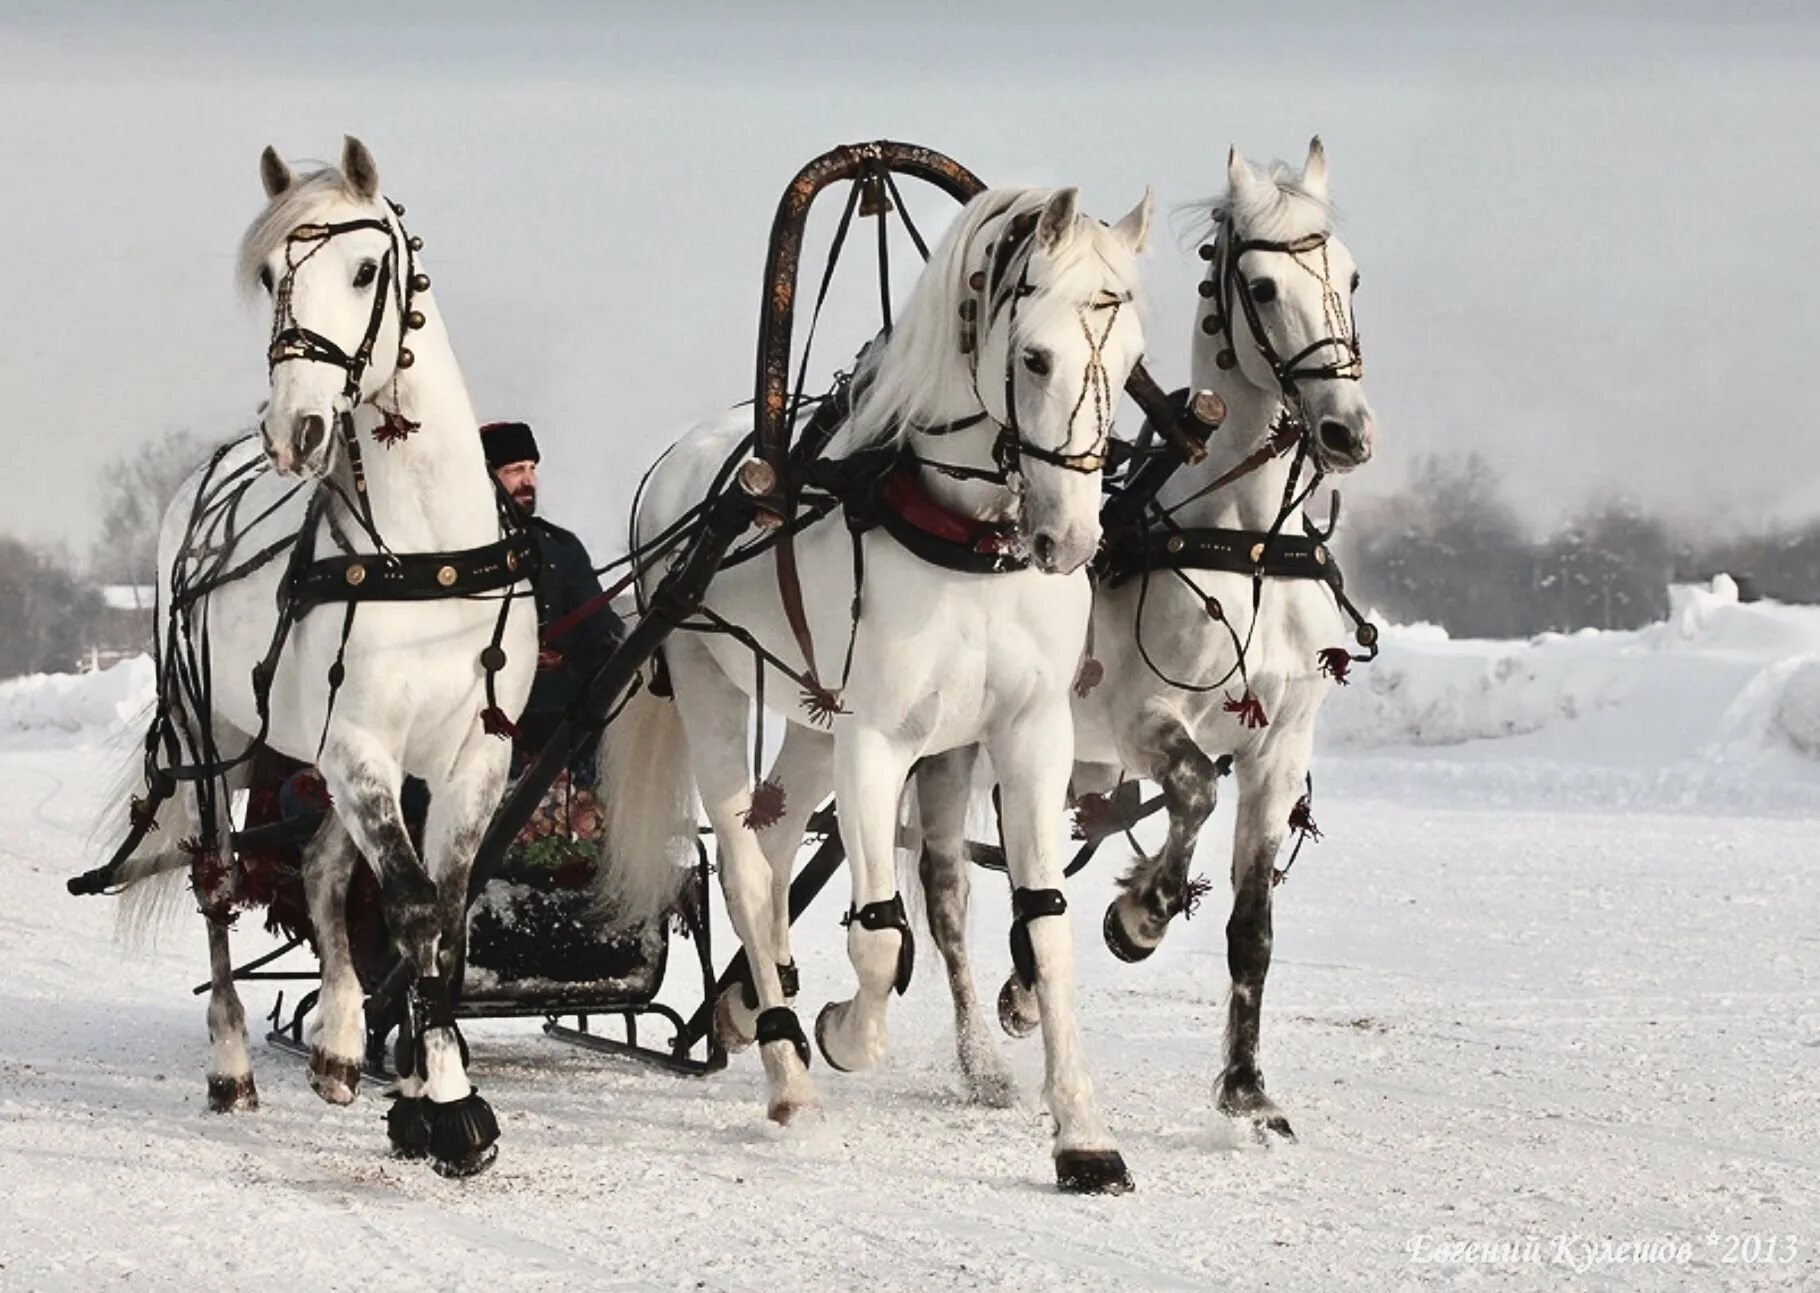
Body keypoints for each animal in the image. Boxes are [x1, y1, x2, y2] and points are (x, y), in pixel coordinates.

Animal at [104, 136, 531, 1180]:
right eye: (269, 277)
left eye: (369, 268)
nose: (293, 431)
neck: (426, 554)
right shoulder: (362, 745)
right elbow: (410, 906)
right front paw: (447, 1105)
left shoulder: (473, 752)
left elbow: (441, 912)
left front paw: (419, 1084)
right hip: (210, 740)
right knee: (218, 881)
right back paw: (231, 1065)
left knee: (327, 868)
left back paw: (338, 1043)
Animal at [607, 182, 1150, 1194]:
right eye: (1035, 355)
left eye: (1133, 358)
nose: (1070, 540)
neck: (968, 545)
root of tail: (675, 461)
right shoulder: (877, 739)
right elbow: (879, 935)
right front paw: (844, 1034)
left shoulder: (1030, 733)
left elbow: (1045, 927)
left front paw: (1083, 1133)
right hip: (711, 682)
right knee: (745, 868)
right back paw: (788, 1068)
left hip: (813, 721)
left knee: (774, 840)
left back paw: (758, 1011)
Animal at [917, 142, 1368, 1143]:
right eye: (1263, 286)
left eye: (1351, 277)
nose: (1347, 431)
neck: (1246, 543)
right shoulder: (1143, 715)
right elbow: (1195, 791)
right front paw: (1140, 914)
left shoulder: (1281, 744)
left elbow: (1253, 924)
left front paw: (1247, 1089)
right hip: (968, 743)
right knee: (948, 885)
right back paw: (984, 1046)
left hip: (1070, 754)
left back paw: (1021, 991)